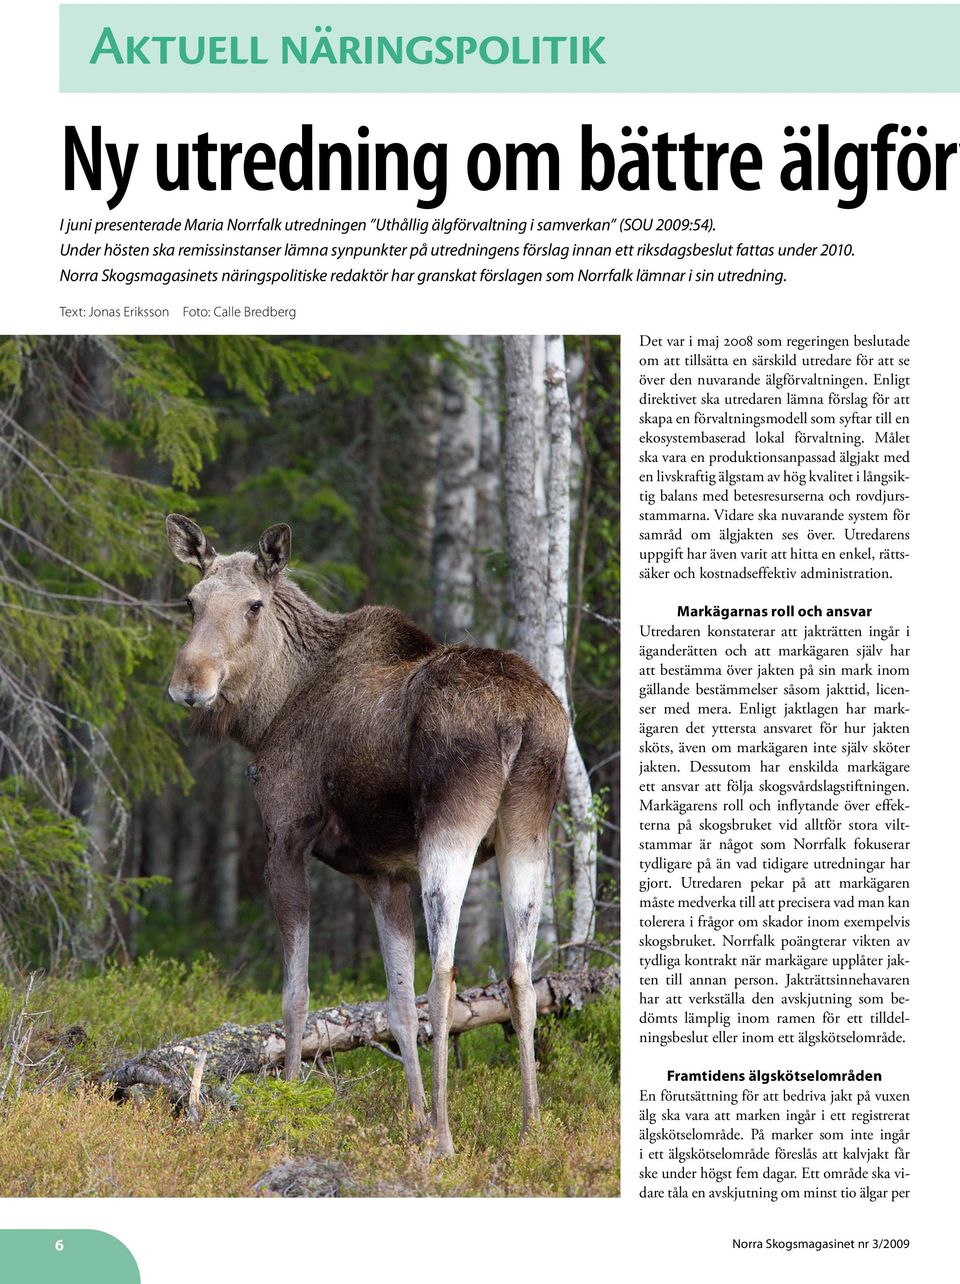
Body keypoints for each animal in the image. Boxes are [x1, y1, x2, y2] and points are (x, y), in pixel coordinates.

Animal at [165, 516, 567, 1160]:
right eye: (190, 601)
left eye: (254, 605)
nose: (189, 684)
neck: (267, 714)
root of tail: (522, 721)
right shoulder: (383, 875)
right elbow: (397, 1006)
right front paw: (414, 1117)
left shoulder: (284, 837)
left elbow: (297, 997)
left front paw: (291, 1104)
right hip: (527, 832)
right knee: (519, 974)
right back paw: (531, 1131)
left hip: (450, 828)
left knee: (446, 974)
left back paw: (446, 1140)